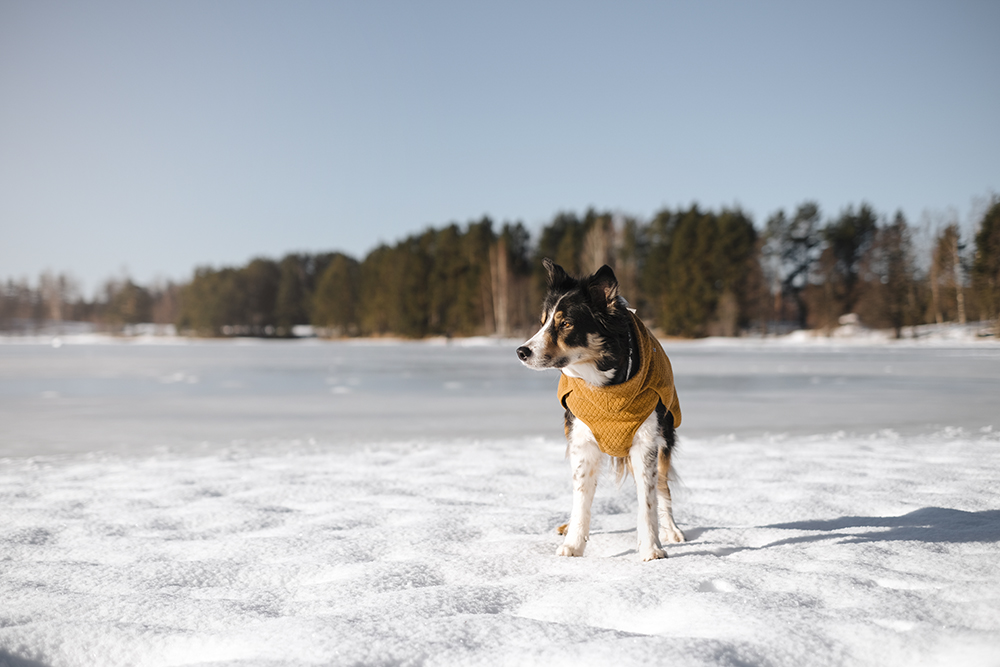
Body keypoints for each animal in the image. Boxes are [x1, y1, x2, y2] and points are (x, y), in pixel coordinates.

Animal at [516, 258, 688, 560]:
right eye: (542, 322)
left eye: (566, 323)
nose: (522, 351)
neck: (604, 387)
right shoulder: (581, 442)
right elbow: (581, 498)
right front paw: (573, 544)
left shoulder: (646, 443)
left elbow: (648, 502)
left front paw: (651, 548)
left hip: (665, 439)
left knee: (663, 488)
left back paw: (671, 529)